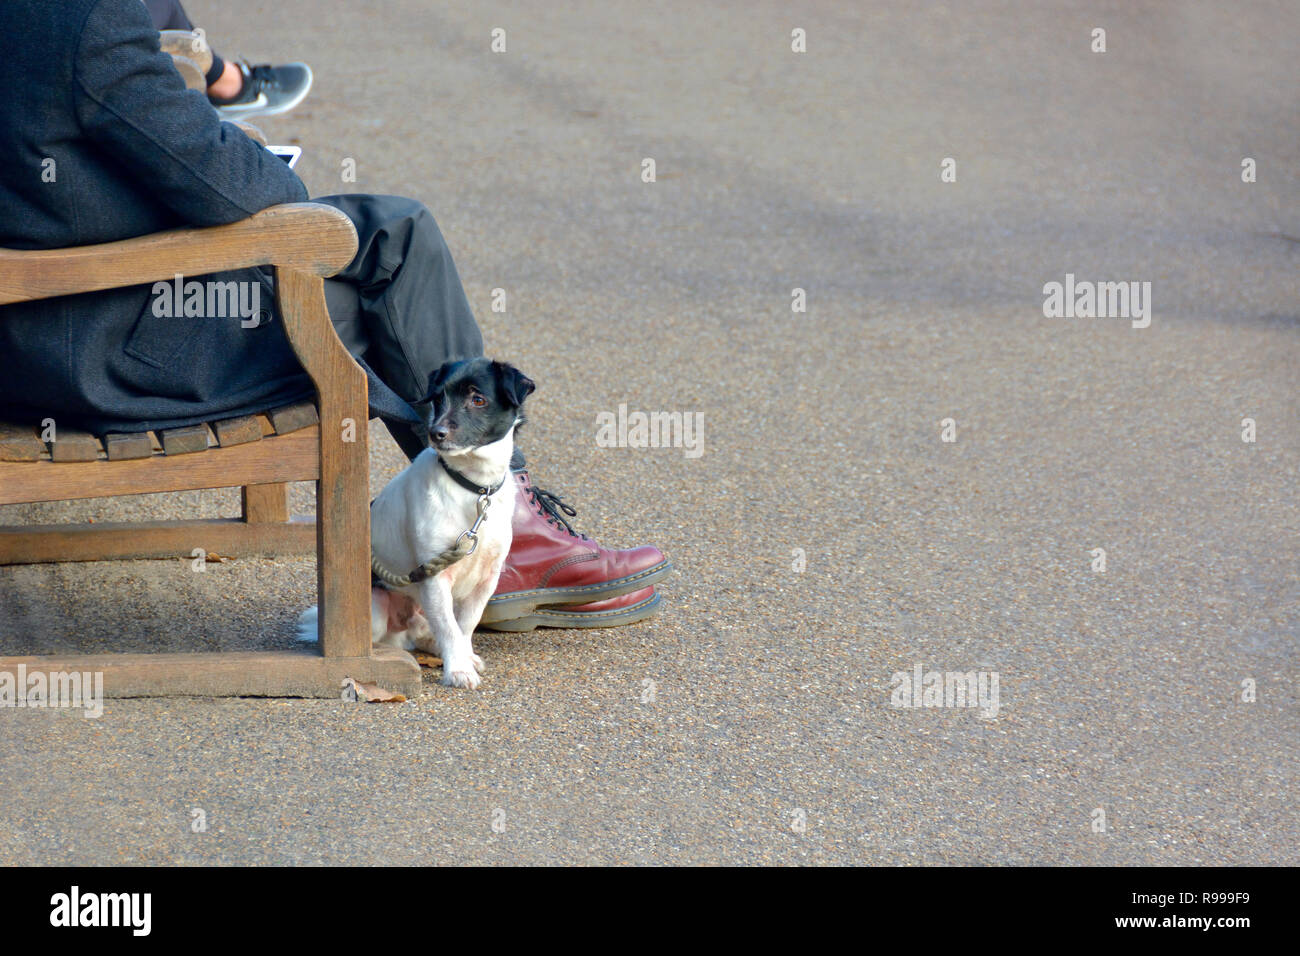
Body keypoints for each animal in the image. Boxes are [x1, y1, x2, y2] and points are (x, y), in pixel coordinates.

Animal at [299, 358, 533, 686]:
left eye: (478, 400)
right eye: (438, 399)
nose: (436, 432)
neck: (473, 488)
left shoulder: (487, 579)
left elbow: (465, 625)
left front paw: (464, 658)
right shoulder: (435, 576)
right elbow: (450, 628)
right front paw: (458, 669)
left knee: (424, 632)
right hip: (376, 611)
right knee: (395, 638)